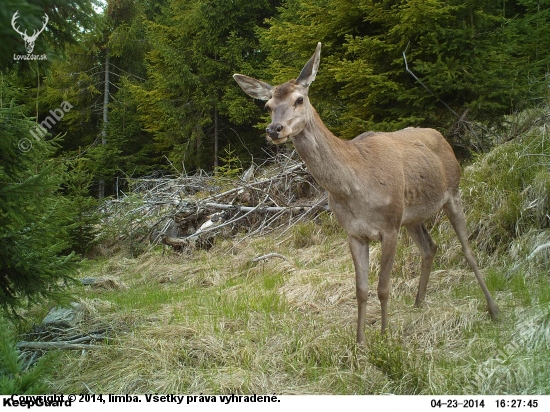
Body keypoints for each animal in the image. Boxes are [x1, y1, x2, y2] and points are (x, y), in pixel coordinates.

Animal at [235, 42, 502, 344]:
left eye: (299, 99)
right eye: (268, 106)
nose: (274, 129)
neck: (356, 186)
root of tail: (441, 136)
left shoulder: (389, 227)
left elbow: (383, 287)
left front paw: (385, 338)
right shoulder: (354, 232)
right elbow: (361, 289)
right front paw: (360, 341)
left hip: (452, 191)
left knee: (467, 250)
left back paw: (493, 309)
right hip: (411, 216)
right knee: (430, 247)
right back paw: (418, 303)